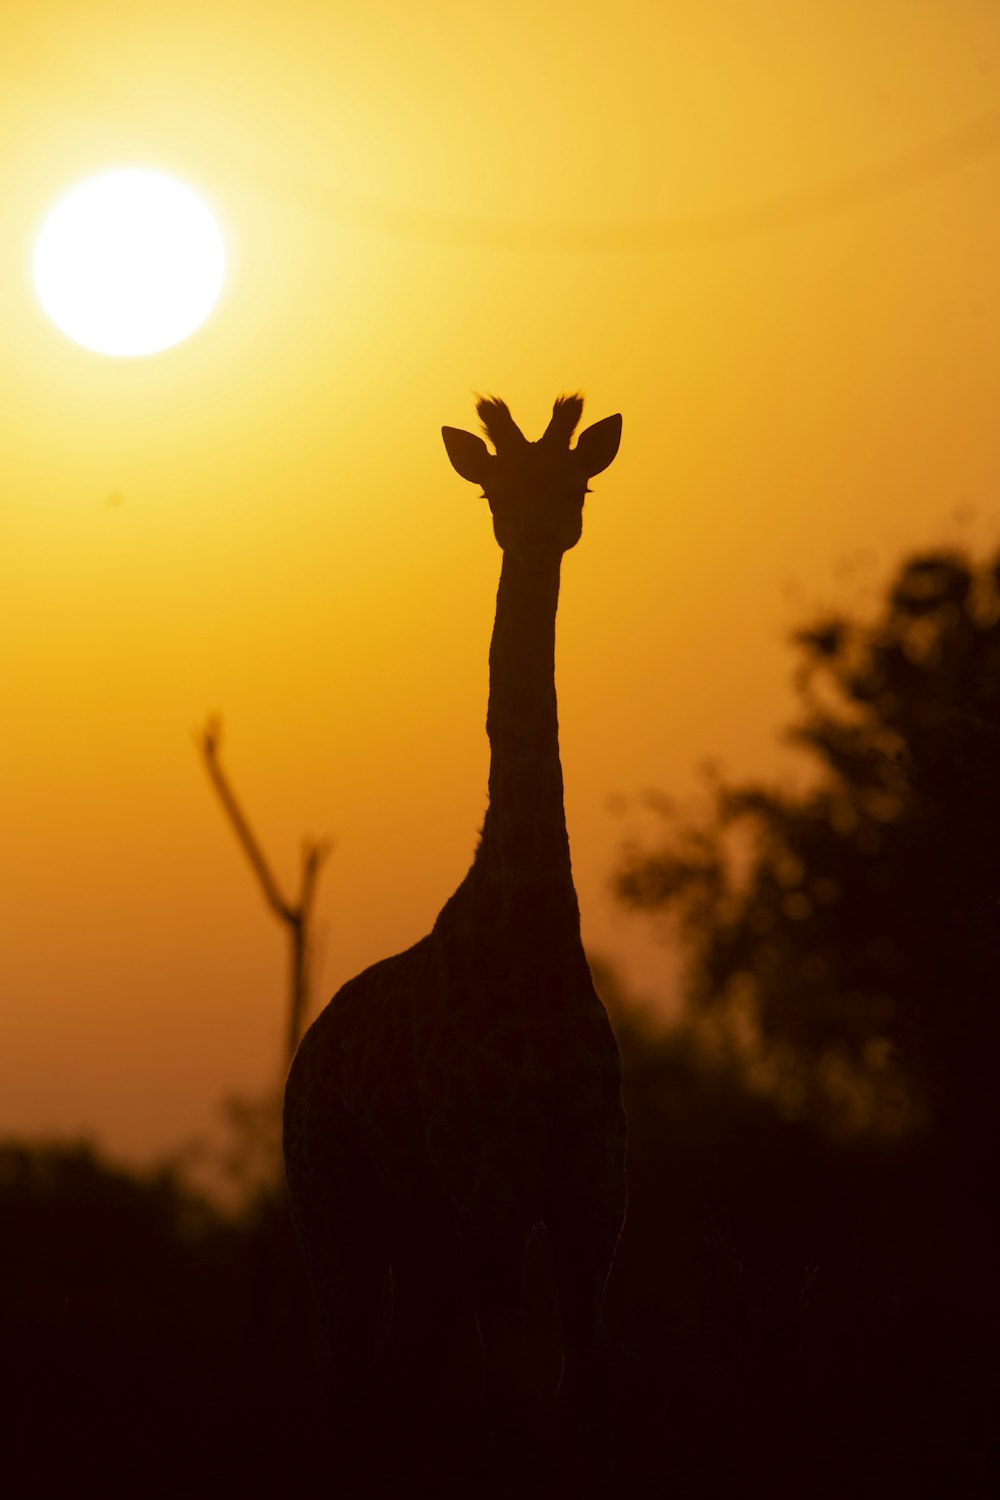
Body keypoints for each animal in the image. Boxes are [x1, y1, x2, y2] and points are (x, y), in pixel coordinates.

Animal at [281, 390, 626, 1488]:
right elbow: (517, 1417)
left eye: (577, 481)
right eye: (490, 487)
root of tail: (305, 1058)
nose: (539, 527)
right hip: (338, 1221)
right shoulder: (489, 1201)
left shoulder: (590, 1203)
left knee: (391, 1400)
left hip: (418, 1244)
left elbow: (583, 1404)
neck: (533, 933)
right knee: (348, 1403)